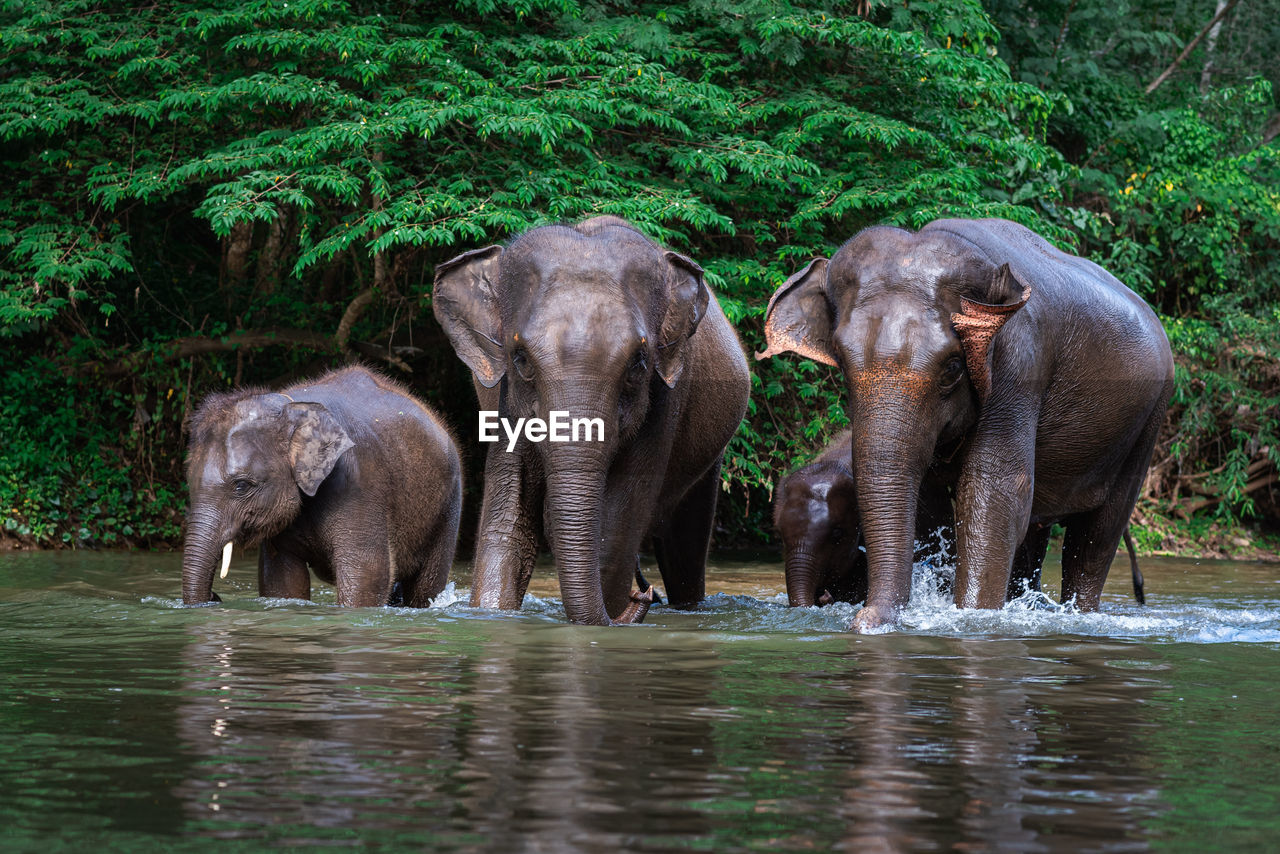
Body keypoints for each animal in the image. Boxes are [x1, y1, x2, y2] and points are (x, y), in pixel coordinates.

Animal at [177, 366, 463, 606]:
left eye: (241, 486)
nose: (214, 596)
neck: (290, 406)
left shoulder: (361, 482)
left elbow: (368, 573)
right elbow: (281, 580)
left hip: (449, 505)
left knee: (425, 587)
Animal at [435, 217, 747, 624]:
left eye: (639, 364)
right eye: (520, 359)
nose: (644, 593)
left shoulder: (665, 399)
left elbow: (615, 533)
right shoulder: (505, 398)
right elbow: (508, 520)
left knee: (686, 543)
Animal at [757, 217, 1172, 632]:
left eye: (953, 368)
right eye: (842, 364)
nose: (865, 620)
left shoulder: (1018, 361)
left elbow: (993, 490)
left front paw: (973, 617)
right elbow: (933, 505)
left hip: (1149, 420)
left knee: (1097, 534)